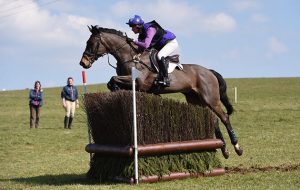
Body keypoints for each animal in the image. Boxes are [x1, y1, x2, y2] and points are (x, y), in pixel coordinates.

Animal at [78, 25, 243, 159]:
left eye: (90, 43)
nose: (83, 63)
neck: (130, 56)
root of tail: (209, 71)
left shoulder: (138, 82)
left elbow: (113, 79)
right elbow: (112, 82)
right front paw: (115, 91)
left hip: (210, 99)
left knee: (224, 118)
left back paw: (237, 147)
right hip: (195, 100)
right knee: (213, 120)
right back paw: (224, 149)